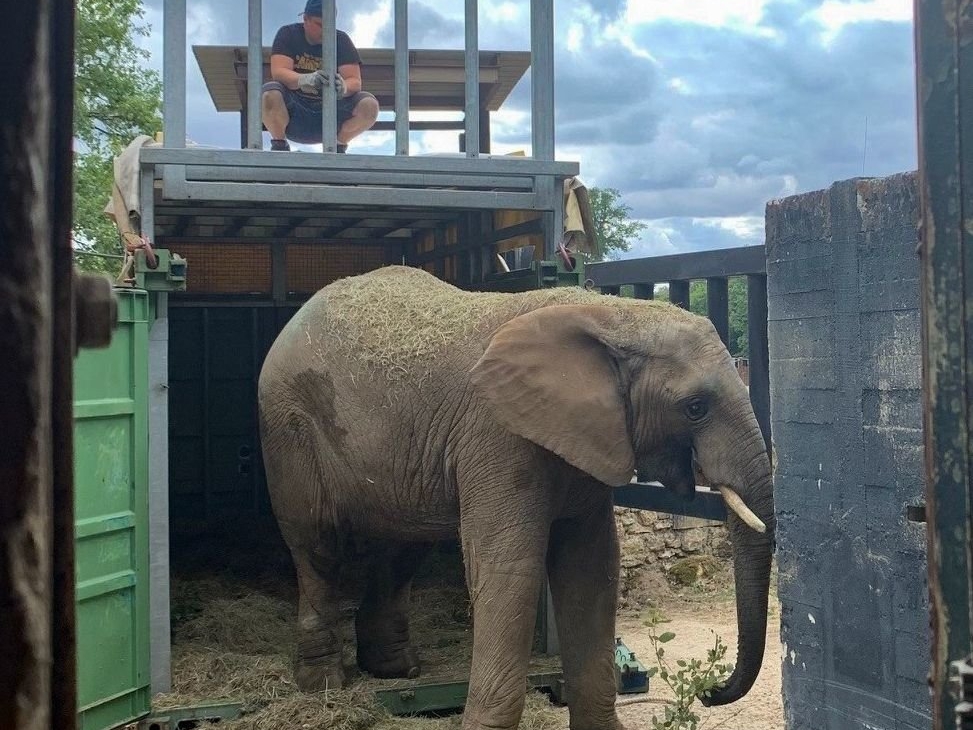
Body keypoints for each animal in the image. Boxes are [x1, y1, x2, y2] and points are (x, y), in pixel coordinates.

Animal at [256, 266, 776, 728]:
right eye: (695, 407)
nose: (709, 692)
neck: (609, 316)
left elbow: (592, 569)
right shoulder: (498, 434)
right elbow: (511, 568)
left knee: (402, 544)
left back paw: (397, 670)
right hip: (288, 425)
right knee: (317, 544)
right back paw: (324, 683)